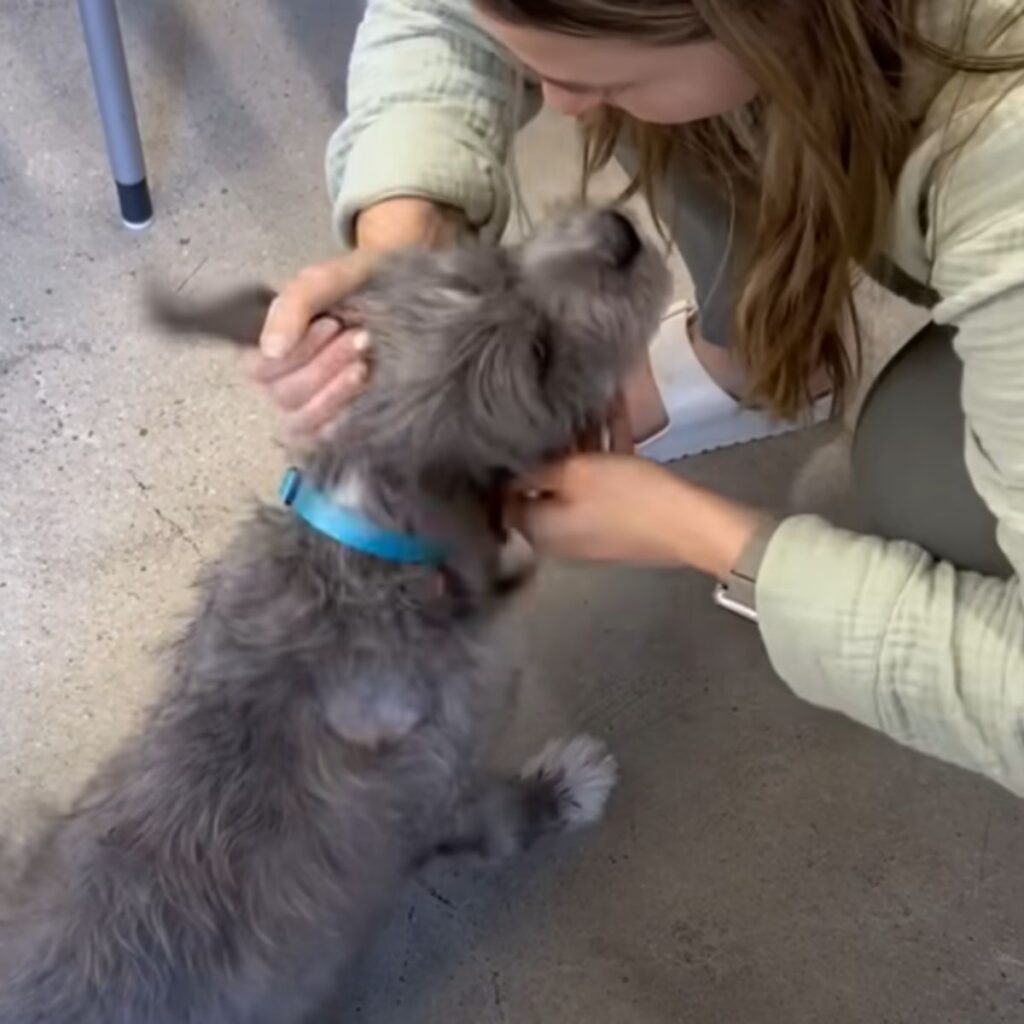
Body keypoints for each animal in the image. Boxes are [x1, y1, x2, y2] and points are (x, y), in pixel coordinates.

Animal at [0, 203, 671, 1019]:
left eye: (493, 265)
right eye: (539, 356)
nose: (619, 231)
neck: (363, 551)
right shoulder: (442, 797)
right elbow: (505, 821)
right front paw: (568, 786)